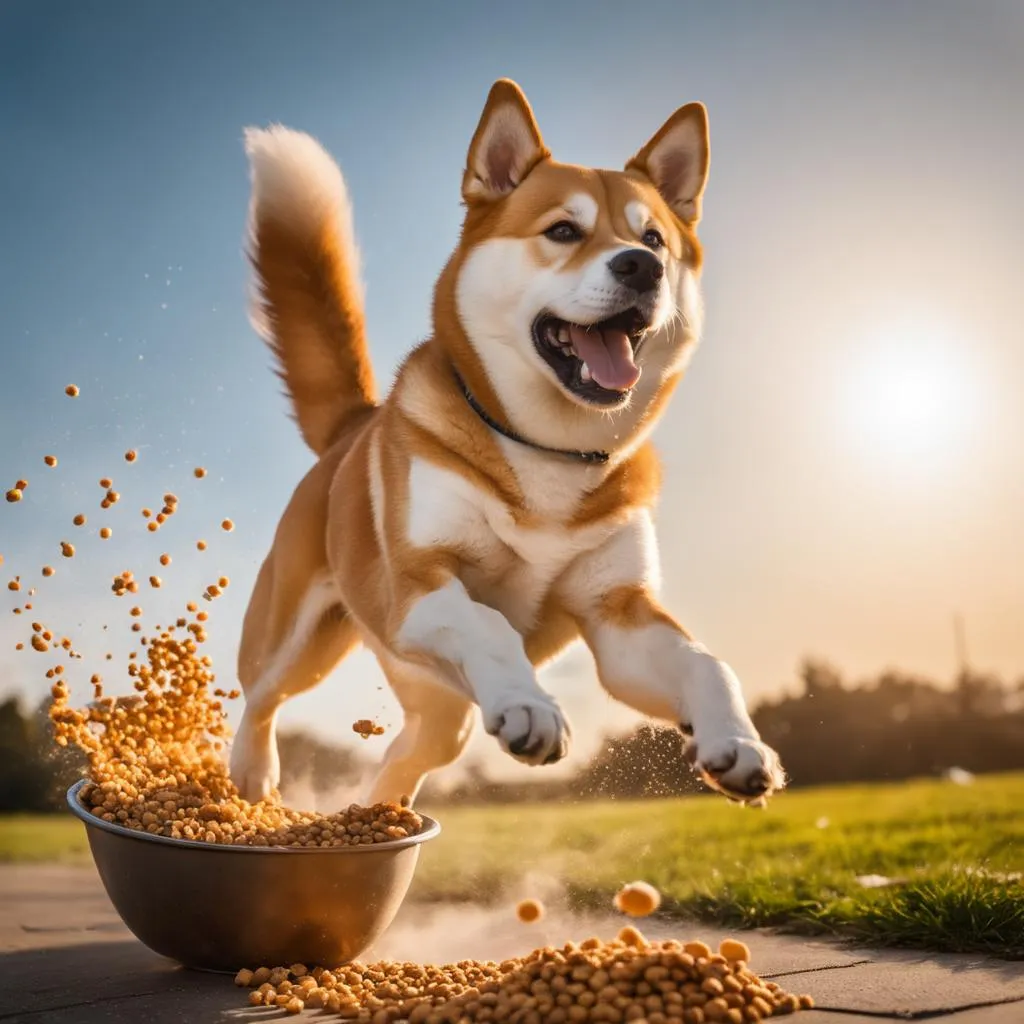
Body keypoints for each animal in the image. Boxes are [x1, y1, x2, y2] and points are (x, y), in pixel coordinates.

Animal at [230, 77, 782, 806]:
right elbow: (489, 624)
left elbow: (706, 662)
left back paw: (382, 812)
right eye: (563, 230)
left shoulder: (619, 617)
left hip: (440, 705)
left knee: (407, 753)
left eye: (655, 239)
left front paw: (737, 742)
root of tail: (356, 426)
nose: (641, 267)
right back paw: (251, 771)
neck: (547, 451)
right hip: (299, 636)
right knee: (261, 694)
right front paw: (531, 706)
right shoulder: (419, 586)